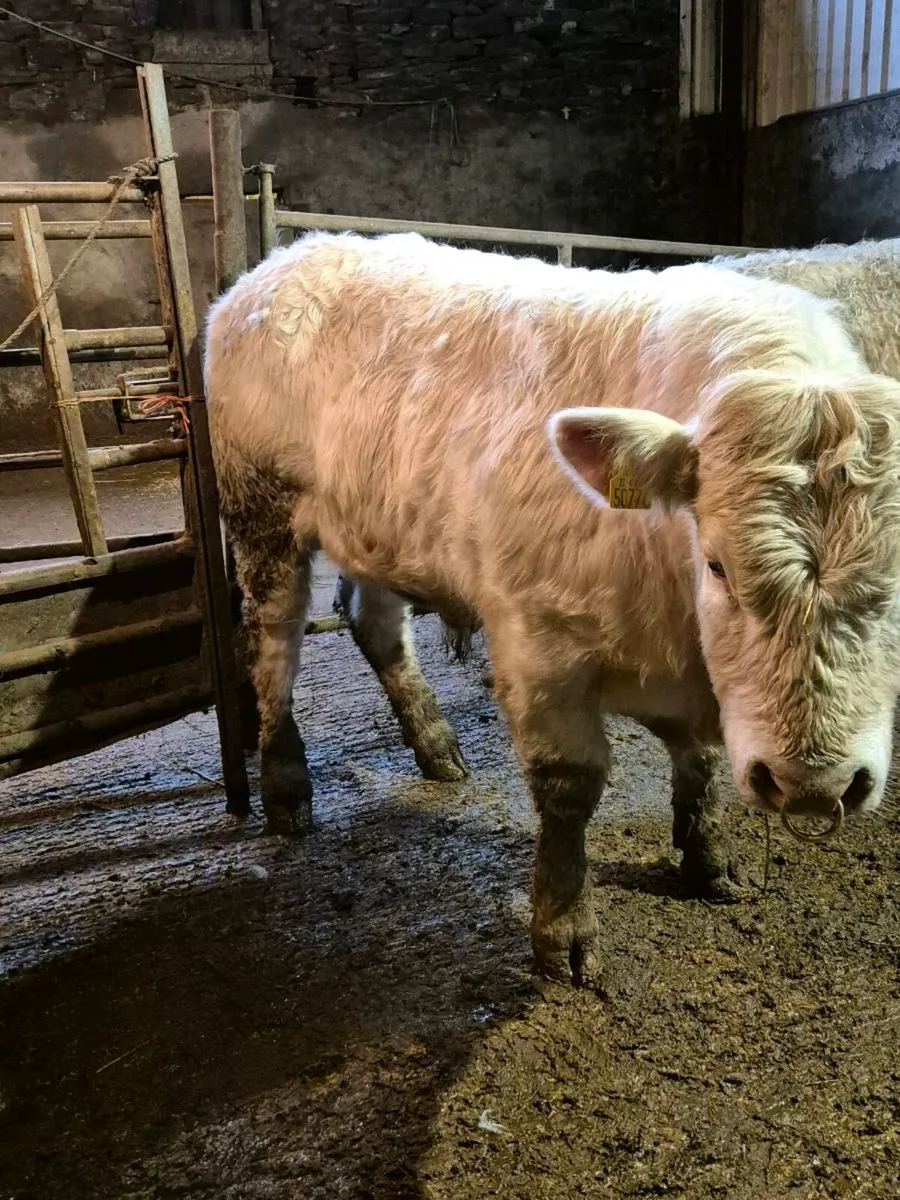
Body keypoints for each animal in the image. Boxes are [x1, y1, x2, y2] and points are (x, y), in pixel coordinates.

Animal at [204, 231, 900, 987]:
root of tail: (290, 257)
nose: (814, 783)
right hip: (261, 512)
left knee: (375, 624)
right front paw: (563, 928)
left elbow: (702, 763)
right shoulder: (539, 643)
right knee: (273, 643)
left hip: (376, 525)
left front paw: (708, 857)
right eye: (716, 563)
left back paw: (435, 744)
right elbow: (570, 789)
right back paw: (286, 786)